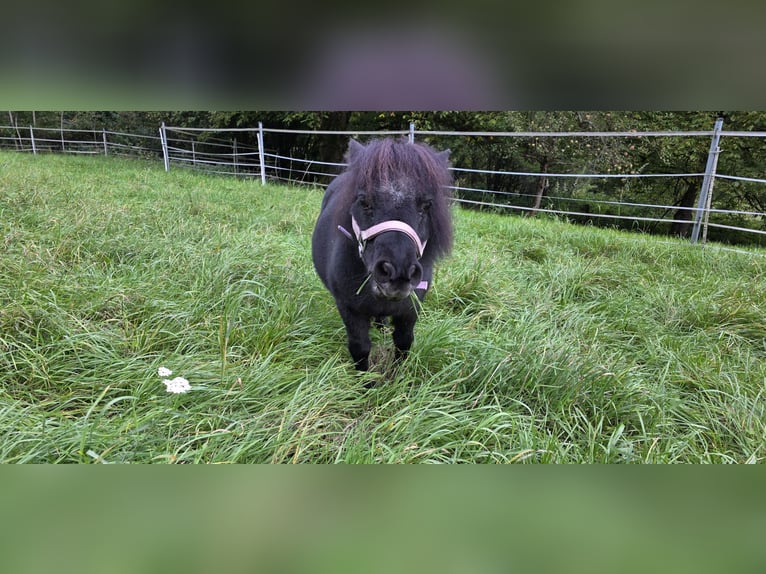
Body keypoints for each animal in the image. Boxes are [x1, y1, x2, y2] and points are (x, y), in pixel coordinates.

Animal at [311, 137, 453, 371]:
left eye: (426, 205)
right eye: (364, 201)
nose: (397, 272)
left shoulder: (411, 308)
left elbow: (404, 342)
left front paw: (398, 377)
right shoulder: (349, 308)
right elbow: (360, 347)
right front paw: (364, 381)